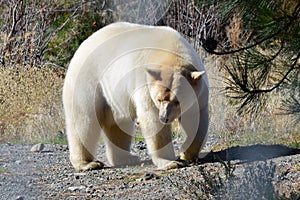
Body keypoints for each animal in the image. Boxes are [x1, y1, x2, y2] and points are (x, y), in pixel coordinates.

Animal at [63, 22, 209, 171]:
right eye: (159, 99)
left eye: (178, 101)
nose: (164, 118)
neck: (171, 52)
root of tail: (83, 45)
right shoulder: (144, 85)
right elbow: (152, 120)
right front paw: (170, 162)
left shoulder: (199, 93)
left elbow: (196, 119)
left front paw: (187, 153)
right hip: (89, 81)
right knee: (84, 120)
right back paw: (87, 163)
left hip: (114, 96)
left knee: (118, 124)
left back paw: (126, 158)